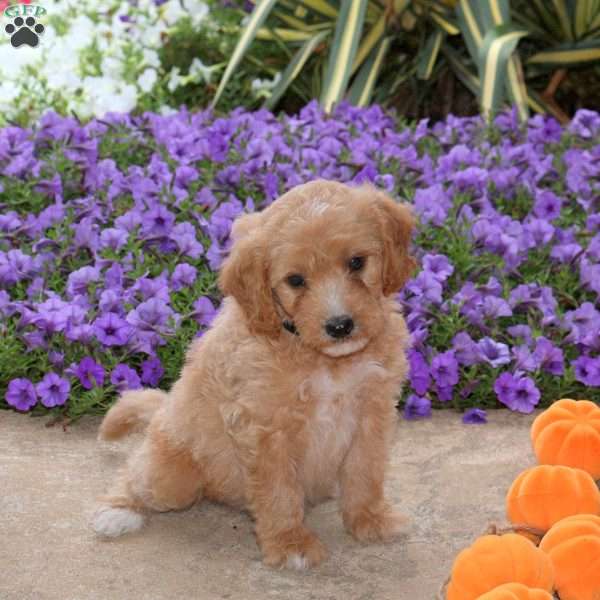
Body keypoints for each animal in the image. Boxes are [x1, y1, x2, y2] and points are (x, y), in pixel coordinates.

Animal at [91, 177, 414, 568]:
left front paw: (370, 520)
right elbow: (279, 491)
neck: (323, 359)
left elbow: (365, 472)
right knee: (134, 474)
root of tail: (162, 411)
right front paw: (291, 544)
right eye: (295, 280)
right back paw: (117, 511)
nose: (340, 325)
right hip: (172, 479)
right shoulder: (266, 429)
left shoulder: (372, 411)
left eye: (356, 262)